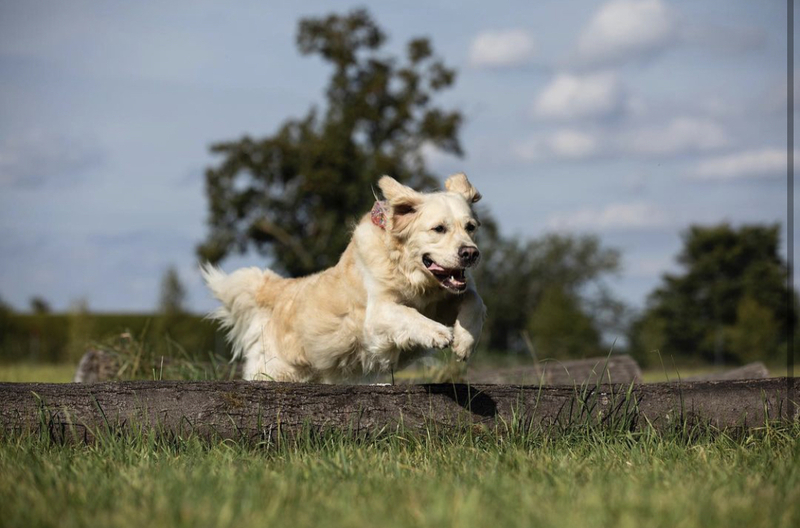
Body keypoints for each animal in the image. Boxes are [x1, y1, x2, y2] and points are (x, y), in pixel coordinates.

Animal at [202, 173, 486, 382]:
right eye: (438, 229)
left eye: (470, 227)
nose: (471, 253)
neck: (413, 277)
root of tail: (278, 289)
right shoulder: (378, 313)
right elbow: (408, 313)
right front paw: (437, 332)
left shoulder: (449, 296)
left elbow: (475, 300)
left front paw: (465, 341)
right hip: (275, 371)